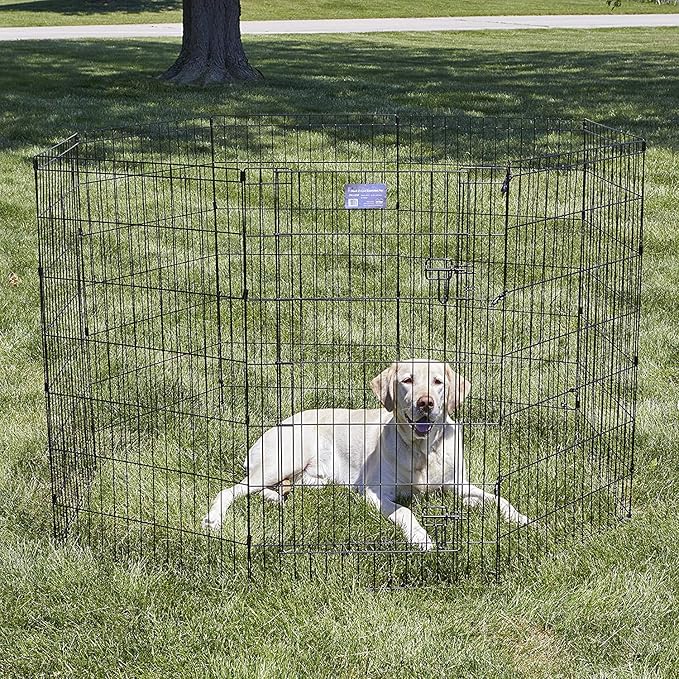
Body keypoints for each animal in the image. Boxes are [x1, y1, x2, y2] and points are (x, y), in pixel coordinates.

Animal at [202, 358, 532, 548]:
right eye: (407, 380)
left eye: (438, 382)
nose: (425, 403)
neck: (424, 450)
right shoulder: (375, 492)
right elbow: (406, 511)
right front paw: (422, 539)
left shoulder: (459, 486)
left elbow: (500, 499)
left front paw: (524, 520)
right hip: (286, 457)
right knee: (230, 490)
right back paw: (213, 519)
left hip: (314, 478)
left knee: (269, 488)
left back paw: (277, 498)